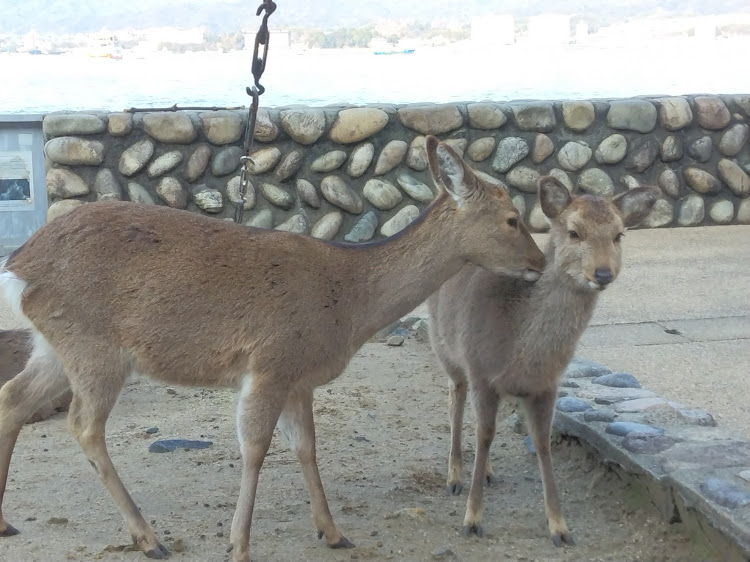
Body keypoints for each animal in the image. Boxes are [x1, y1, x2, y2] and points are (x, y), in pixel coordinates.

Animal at [0, 137, 544, 560]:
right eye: (512, 218)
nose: (540, 262)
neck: (349, 303)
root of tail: (18, 264)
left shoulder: (299, 379)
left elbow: (306, 446)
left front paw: (334, 533)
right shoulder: (271, 363)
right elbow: (256, 448)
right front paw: (238, 546)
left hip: (56, 345)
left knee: (14, 397)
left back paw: (7, 522)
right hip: (95, 347)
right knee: (83, 425)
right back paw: (149, 538)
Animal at [428, 174, 656, 544]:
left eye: (619, 234)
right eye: (574, 231)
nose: (603, 274)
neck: (524, 355)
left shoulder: (548, 385)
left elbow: (542, 443)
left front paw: (560, 528)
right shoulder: (481, 372)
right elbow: (485, 434)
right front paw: (472, 520)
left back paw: (487, 471)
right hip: (443, 346)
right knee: (455, 400)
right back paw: (455, 477)